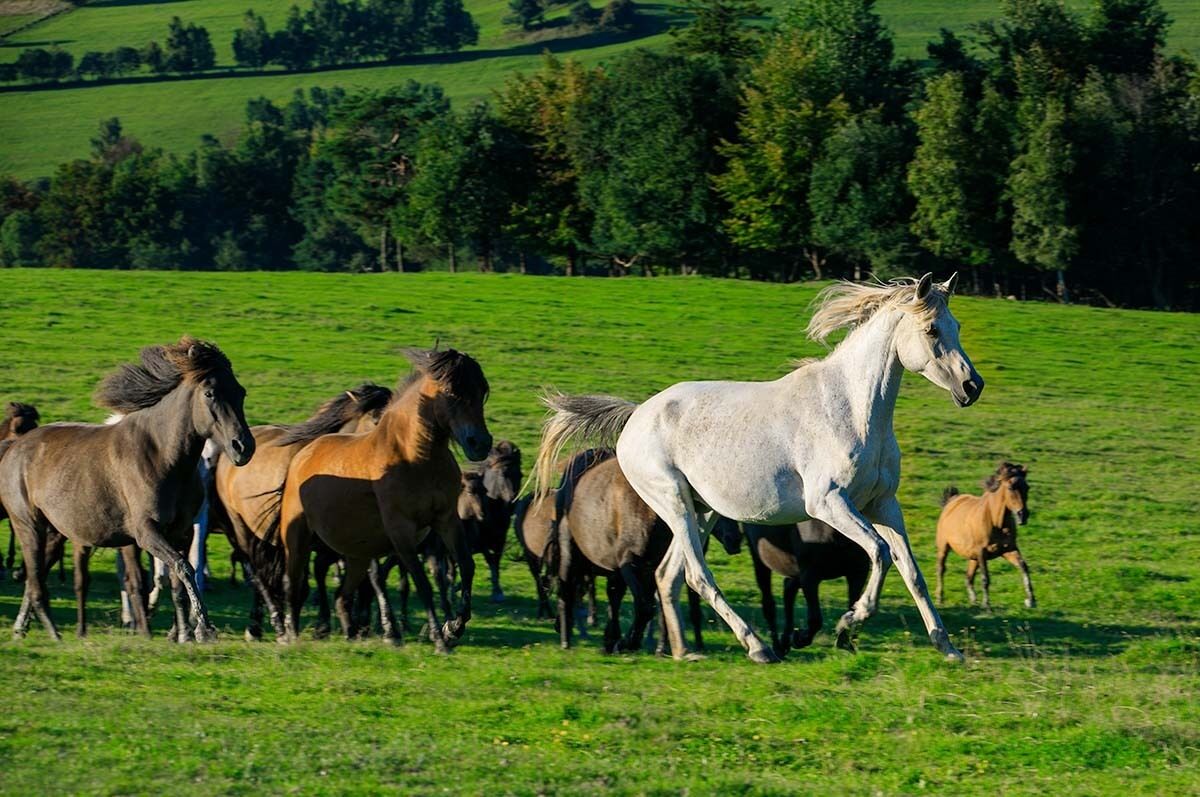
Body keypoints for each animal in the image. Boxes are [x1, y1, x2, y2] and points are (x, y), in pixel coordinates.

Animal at [0, 337, 255, 641]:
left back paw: (22, 628)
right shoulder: (146, 533)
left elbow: (178, 580)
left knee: (35, 577)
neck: (163, 457)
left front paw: (183, 634)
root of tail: (14, 447)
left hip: (54, 531)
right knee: (36, 579)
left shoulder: (180, 532)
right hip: (28, 526)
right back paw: (53, 633)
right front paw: (203, 630)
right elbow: (182, 568)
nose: (243, 447)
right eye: (210, 393)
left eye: (240, 392)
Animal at [277, 348, 492, 652]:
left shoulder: (446, 520)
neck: (416, 459)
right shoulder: (400, 530)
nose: (480, 444)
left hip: (355, 555)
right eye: (452, 391)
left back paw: (350, 632)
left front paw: (453, 628)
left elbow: (466, 568)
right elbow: (421, 583)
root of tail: (304, 454)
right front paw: (439, 639)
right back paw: (291, 635)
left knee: (342, 595)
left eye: (482, 390)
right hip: (297, 539)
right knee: (293, 585)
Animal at [743, 520, 870, 657]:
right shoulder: (809, 576)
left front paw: (844, 641)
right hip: (760, 558)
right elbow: (815, 619)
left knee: (788, 588)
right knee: (769, 604)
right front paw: (799, 639)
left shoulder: (858, 572)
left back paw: (784, 641)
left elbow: (854, 609)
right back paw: (775, 648)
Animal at [936, 462, 1034, 610]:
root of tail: (952, 500)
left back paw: (973, 601)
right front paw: (987, 605)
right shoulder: (982, 552)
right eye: (1010, 487)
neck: (995, 521)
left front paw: (1030, 601)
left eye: (1027, 487)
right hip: (944, 547)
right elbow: (985, 578)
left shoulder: (1008, 549)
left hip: (973, 557)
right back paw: (940, 599)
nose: (1023, 515)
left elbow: (1023, 567)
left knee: (968, 577)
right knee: (941, 570)